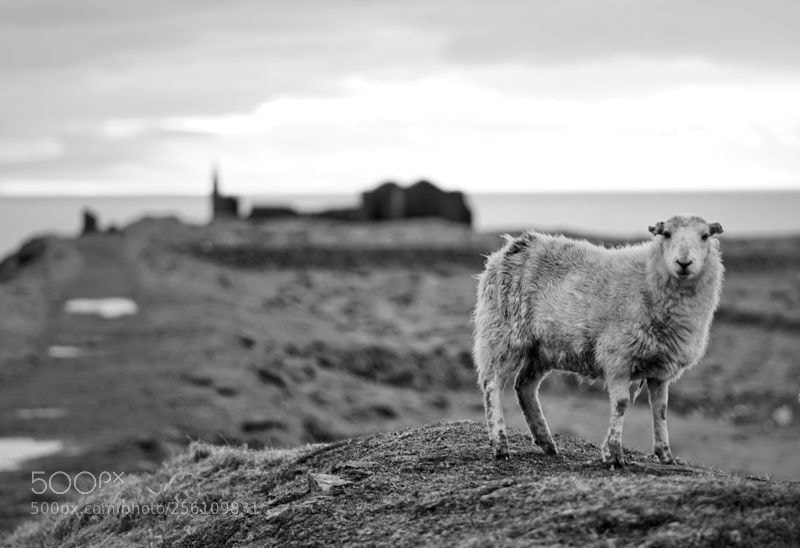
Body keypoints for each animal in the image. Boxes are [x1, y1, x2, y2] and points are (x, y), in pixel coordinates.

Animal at [473, 215, 724, 467]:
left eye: (704, 236)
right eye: (667, 234)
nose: (684, 263)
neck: (648, 277)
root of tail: (513, 246)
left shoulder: (660, 369)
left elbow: (661, 410)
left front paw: (665, 455)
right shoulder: (618, 357)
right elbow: (621, 404)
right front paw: (613, 454)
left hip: (542, 349)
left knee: (524, 386)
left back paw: (547, 443)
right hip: (503, 333)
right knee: (493, 384)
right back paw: (500, 445)